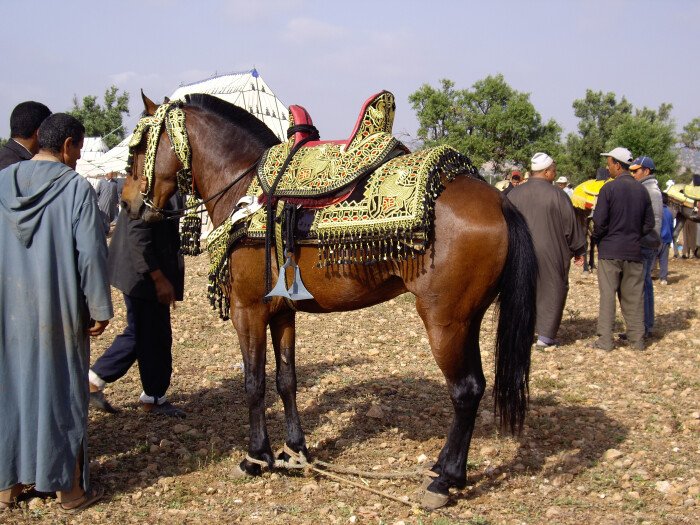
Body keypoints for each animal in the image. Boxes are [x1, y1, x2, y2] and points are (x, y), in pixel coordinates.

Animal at [121, 92, 536, 506]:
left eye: (138, 147)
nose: (127, 204)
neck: (243, 188)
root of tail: (500, 201)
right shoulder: (281, 312)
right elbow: (286, 380)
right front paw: (294, 451)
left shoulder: (248, 310)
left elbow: (253, 383)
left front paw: (256, 457)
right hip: (468, 320)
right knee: (477, 386)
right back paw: (445, 471)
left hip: (444, 322)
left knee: (465, 391)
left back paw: (443, 481)